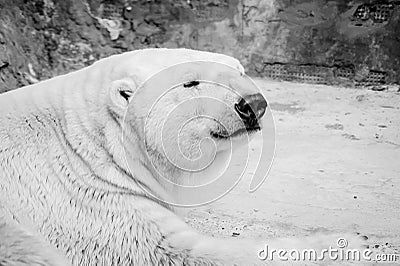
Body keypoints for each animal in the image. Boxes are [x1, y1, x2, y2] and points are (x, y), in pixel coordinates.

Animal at [0, 48, 362, 264]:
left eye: (240, 70)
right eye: (190, 82)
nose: (253, 105)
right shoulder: (89, 204)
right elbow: (172, 251)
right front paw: (346, 244)